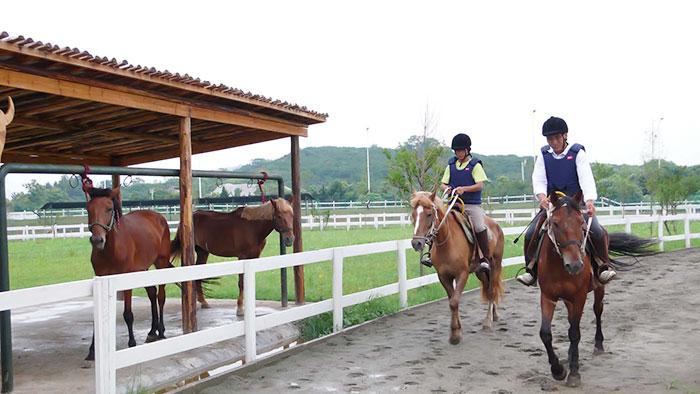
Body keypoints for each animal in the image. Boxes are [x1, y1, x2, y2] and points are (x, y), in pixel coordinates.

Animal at [84, 185, 172, 360]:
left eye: (109, 208)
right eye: (88, 209)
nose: (97, 240)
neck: (111, 251)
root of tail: (158, 217)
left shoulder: (125, 280)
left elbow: (128, 314)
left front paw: (132, 342)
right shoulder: (102, 278)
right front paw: (92, 350)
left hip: (161, 263)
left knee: (160, 297)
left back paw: (161, 330)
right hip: (143, 269)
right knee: (152, 293)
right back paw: (152, 331)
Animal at [410, 189, 504, 344]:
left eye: (429, 214)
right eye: (413, 215)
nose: (416, 243)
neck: (447, 242)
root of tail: (496, 225)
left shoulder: (462, 274)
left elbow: (454, 302)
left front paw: (455, 335)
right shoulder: (443, 276)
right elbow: (452, 300)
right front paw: (456, 330)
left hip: (495, 265)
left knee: (492, 290)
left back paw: (488, 321)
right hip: (480, 271)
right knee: (489, 286)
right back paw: (495, 314)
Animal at [536, 189, 656, 386]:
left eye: (581, 223)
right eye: (555, 223)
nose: (575, 265)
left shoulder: (579, 296)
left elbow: (575, 333)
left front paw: (574, 373)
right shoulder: (548, 296)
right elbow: (546, 334)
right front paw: (558, 370)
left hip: (599, 289)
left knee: (597, 311)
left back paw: (598, 345)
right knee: (571, 321)